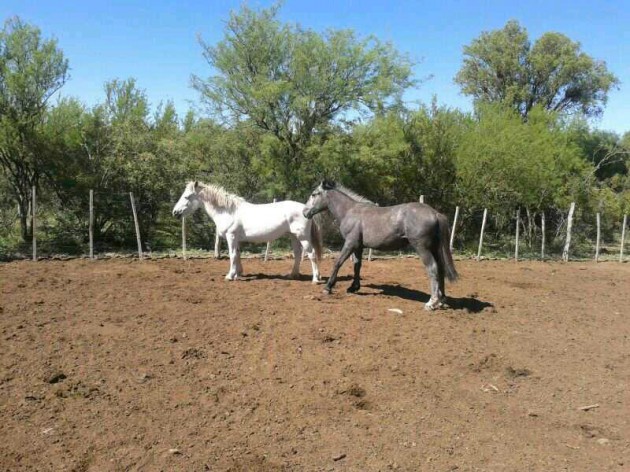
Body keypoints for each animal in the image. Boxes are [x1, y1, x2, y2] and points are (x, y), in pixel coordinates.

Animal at [173, 182, 324, 282]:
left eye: (187, 196)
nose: (175, 212)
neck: (229, 211)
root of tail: (306, 210)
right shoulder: (236, 240)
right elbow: (238, 255)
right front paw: (238, 273)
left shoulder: (231, 237)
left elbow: (232, 255)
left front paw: (230, 276)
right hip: (294, 237)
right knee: (298, 255)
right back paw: (293, 275)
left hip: (303, 237)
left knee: (311, 254)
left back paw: (316, 279)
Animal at [304, 181, 460, 310]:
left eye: (314, 194)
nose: (305, 212)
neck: (349, 211)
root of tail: (435, 213)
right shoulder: (359, 246)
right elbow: (357, 266)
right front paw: (354, 287)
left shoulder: (350, 243)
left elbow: (338, 263)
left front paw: (328, 287)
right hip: (434, 249)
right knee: (441, 269)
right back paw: (441, 300)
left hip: (423, 248)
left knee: (433, 268)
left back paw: (431, 302)